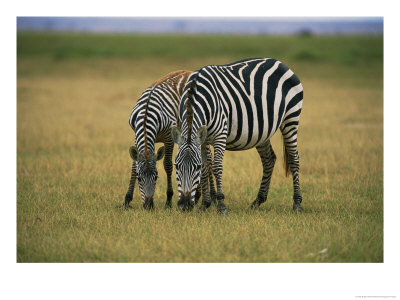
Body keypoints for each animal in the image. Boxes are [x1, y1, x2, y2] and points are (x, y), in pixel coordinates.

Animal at [123, 70, 216, 210]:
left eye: (156, 177)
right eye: (139, 178)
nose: (148, 206)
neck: (146, 115)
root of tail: (189, 72)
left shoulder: (169, 137)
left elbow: (167, 165)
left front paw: (168, 200)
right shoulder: (136, 135)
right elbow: (134, 166)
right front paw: (127, 199)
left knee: (208, 159)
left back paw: (210, 197)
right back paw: (198, 196)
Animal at [170, 58, 304, 213]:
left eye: (195, 167)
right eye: (176, 166)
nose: (185, 205)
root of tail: (280, 63)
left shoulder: (220, 135)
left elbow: (216, 167)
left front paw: (221, 205)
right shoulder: (202, 141)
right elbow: (205, 169)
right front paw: (204, 205)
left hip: (291, 118)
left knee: (294, 159)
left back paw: (297, 203)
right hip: (262, 131)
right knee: (269, 159)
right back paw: (257, 201)